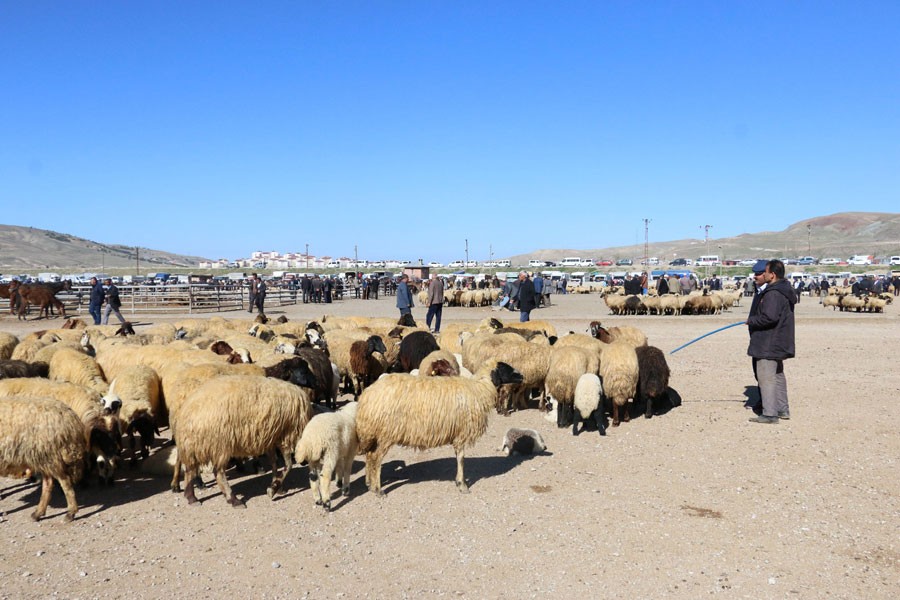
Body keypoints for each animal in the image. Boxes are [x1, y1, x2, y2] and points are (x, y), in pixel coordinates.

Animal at [178, 376, 314, 506]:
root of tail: (186, 414)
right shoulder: (285, 435)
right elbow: (288, 465)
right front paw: (273, 489)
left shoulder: (270, 438)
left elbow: (274, 463)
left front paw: (277, 486)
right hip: (220, 444)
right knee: (218, 473)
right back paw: (233, 499)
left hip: (192, 445)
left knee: (189, 470)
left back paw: (191, 498)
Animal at [356, 360, 524, 492]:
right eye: (505, 368)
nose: (522, 376)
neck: (479, 389)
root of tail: (367, 395)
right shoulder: (462, 432)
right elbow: (461, 458)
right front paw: (462, 484)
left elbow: (459, 457)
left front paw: (459, 481)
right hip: (386, 433)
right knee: (376, 458)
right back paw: (377, 489)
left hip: (377, 433)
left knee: (369, 455)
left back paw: (369, 483)